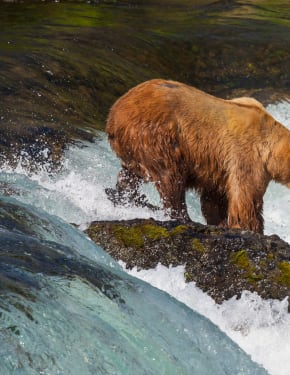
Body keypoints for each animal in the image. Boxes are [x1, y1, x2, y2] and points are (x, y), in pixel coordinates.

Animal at [105, 78, 290, 234]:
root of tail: (113, 114)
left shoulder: (220, 168)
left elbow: (215, 198)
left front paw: (221, 222)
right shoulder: (247, 157)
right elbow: (245, 200)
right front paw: (252, 228)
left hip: (133, 148)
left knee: (131, 174)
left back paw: (121, 195)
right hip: (155, 135)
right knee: (170, 177)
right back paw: (182, 217)